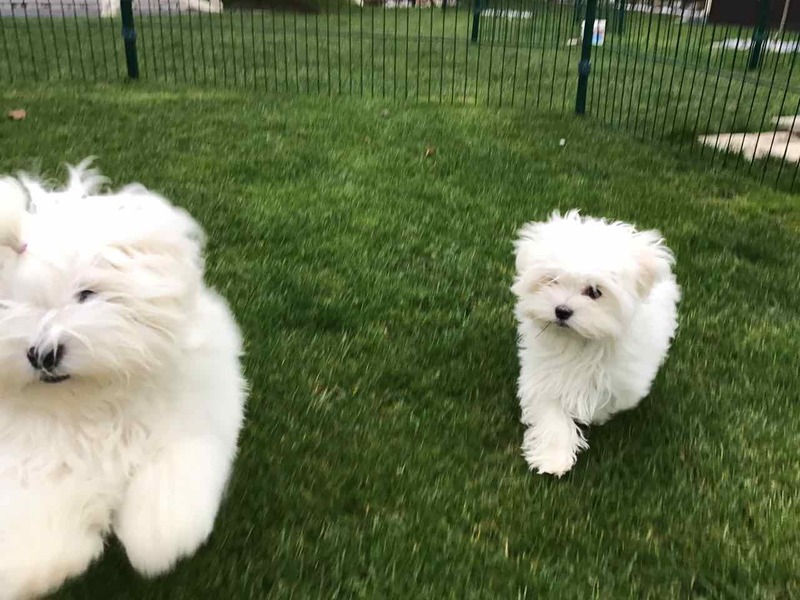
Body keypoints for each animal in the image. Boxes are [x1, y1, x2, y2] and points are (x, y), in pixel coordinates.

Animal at [0, 161, 247, 598]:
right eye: (8, 305)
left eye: (86, 295)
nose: (42, 354)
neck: (90, 398)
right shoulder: (31, 463)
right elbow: (38, 508)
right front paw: (38, 565)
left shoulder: (184, 425)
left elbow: (167, 478)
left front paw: (160, 536)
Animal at [512, 210, 680, 477]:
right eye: (551, 280)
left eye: (594, 292)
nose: (562, 311)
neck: (580, 342)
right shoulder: (544, 371)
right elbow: (551, 412)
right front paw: (553, 457)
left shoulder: (625, 379)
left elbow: (605, 399)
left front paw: (591, 414)